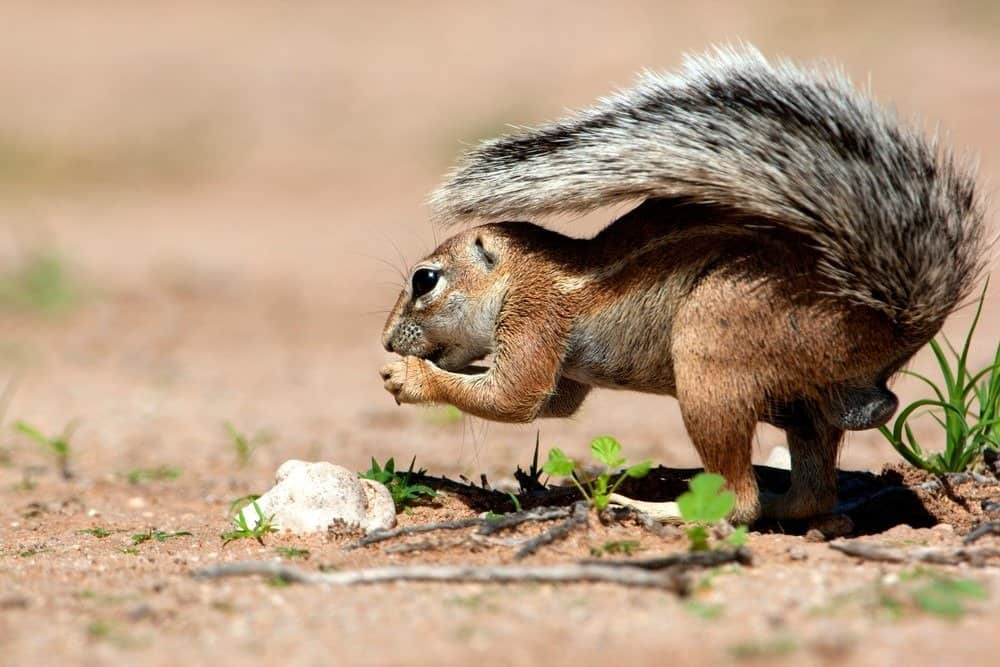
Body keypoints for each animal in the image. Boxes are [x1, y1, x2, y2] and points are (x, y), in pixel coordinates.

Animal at [378, 48, 988, 528]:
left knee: (738, 502)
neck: (531, 271)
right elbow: (552, 402)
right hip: (806, 401)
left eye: (424, 280)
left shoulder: (534, 314)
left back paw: (651, 508)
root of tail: (891, 313)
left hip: (711, 344)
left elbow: (515, 397)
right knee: (812, 494)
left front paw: (409, 377)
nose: (385, 341)